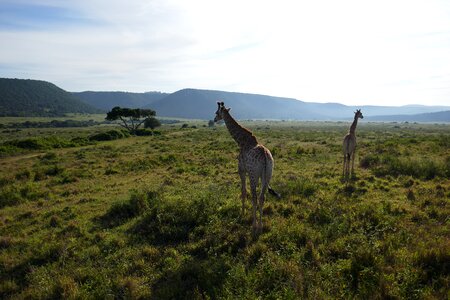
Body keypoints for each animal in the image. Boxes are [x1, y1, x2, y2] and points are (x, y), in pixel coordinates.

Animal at [214, 101, 280, 232]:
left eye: (216, 112)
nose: (214, 119)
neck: (241, 141)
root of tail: (265, 156)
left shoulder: (242, 170)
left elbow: (244, 191)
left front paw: (242, 213)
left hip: (254, 174)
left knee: (255, 196)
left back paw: (254, 224)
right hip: (268, 174)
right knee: (262, 197)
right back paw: (260, 225)